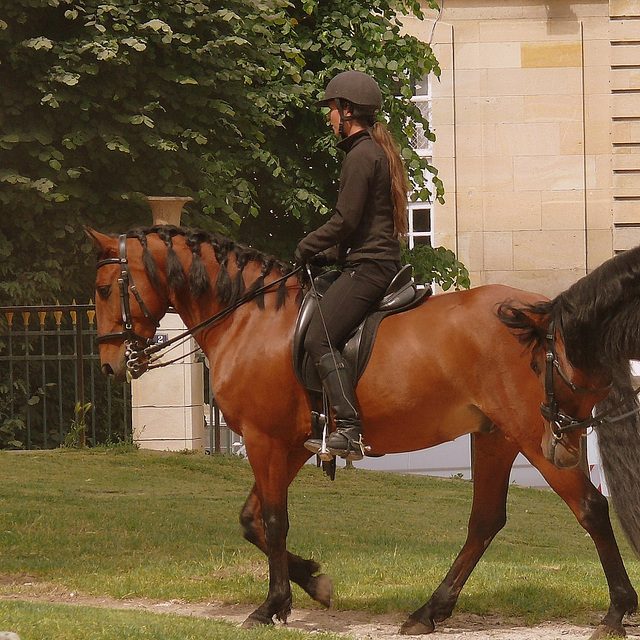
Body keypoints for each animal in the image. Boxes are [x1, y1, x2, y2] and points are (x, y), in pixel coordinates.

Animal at [86, 224, 640, 636]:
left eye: (103, 288)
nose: (111, 364)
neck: (249, 319)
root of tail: (548, 314)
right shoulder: (291, 445)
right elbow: (251, 520)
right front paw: (313, 582)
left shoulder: (266, 440)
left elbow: (273, 521)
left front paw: (272, 605)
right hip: (498, 437)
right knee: (485, 521)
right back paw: (429, 611)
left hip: (539, 438)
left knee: (590, 508)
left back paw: (616, 611)